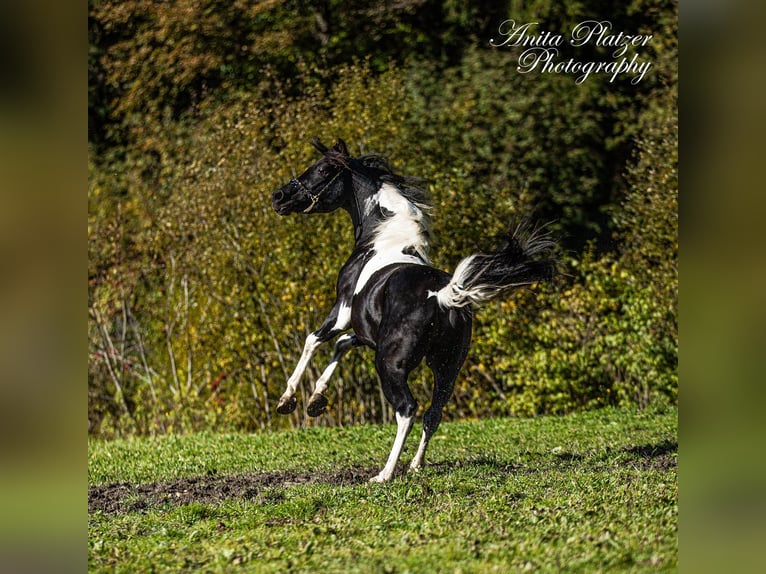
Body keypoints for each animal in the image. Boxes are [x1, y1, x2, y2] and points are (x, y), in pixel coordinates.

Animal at [270, 138, 557, 483]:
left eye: (324, 169)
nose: (279, 197)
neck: (383, 237)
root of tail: (443, 296)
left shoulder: (342, 312)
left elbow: (314, 340)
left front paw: (288, 400)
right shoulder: (367, 333)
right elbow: (341, 346)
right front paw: (316, 400)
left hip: (390, 366)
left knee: (407, 410)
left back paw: (384, 474)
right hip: (446, 368)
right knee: (434, 412)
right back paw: (415, 465)